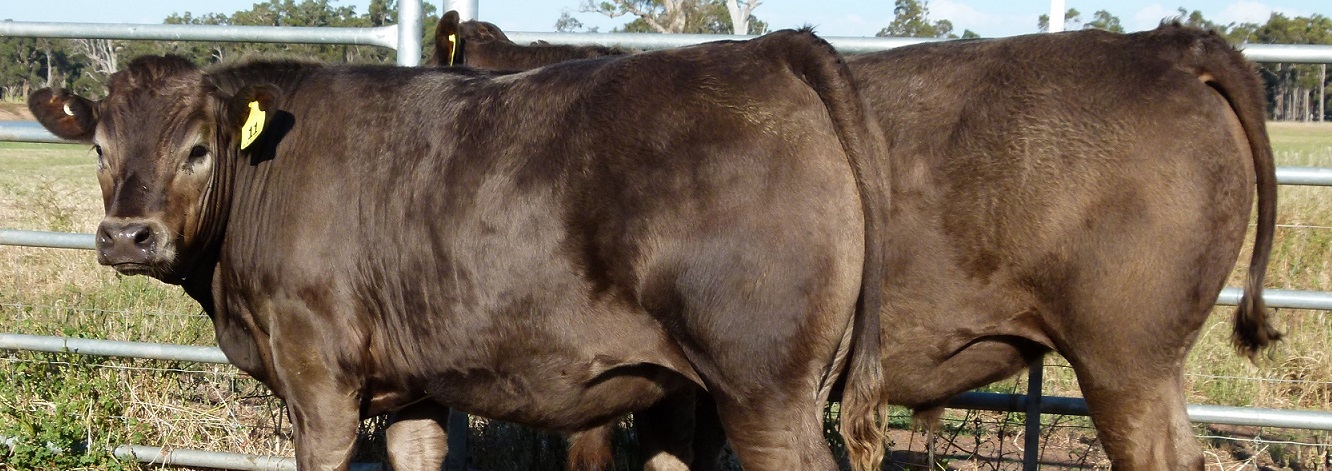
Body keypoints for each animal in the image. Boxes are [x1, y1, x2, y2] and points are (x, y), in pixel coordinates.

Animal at [28, 29, 896, 471]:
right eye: (99, 147)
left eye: (199, 150)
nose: (126, 236)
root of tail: (772, 48)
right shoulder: (411, 381)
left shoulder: (318, 380)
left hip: (766, 388)